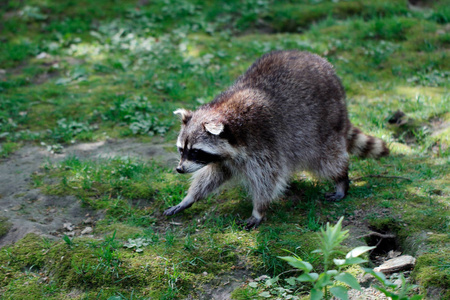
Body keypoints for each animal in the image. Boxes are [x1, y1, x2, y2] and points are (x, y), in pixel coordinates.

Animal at [163, 50, 388, 229]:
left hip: (323, 126)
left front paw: (258, 210)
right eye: (181, 150)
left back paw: (341, 179)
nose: (179, 169)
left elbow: (267, 178)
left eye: (195, 151)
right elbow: (211, 176)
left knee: (327, 159)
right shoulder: (224, 158)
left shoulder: (262, 143)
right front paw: (189, 198)